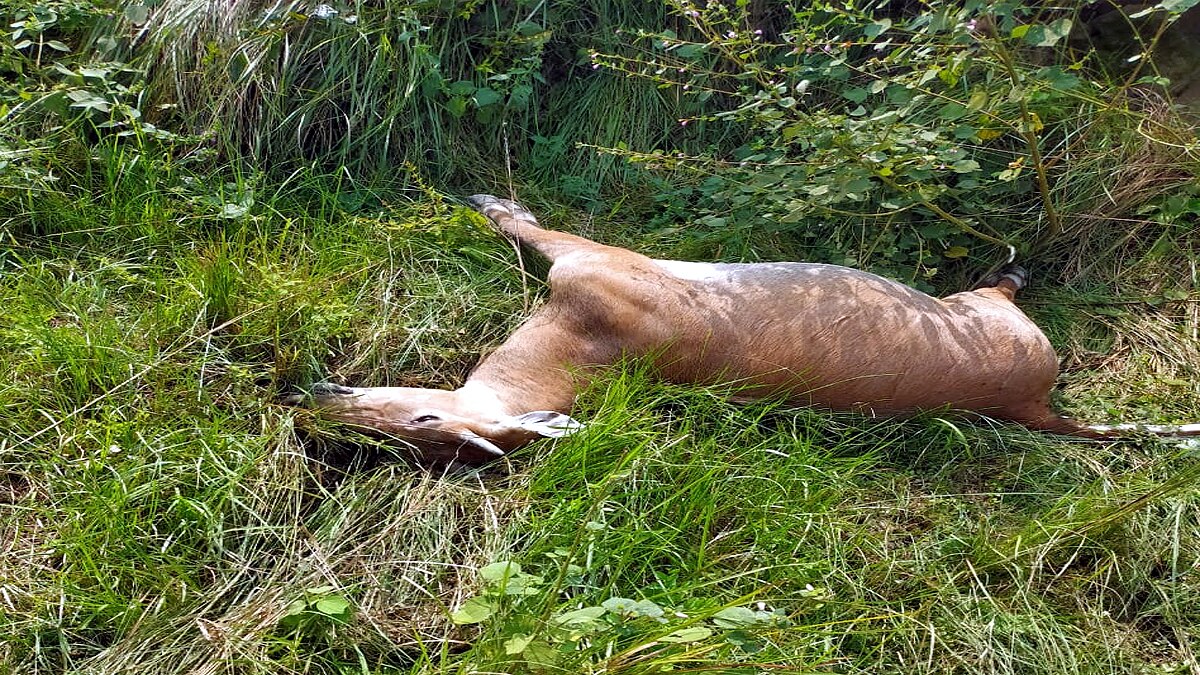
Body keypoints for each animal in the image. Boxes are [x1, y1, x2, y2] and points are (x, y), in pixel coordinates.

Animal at [289, 195, 1200, 464]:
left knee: (1003, 285)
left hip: (991, 312)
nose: (308, 408)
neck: (581, 344)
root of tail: (1035, 406)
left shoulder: (591, 260)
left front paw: (486, 200)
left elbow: (526, 226)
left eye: (424, 419)